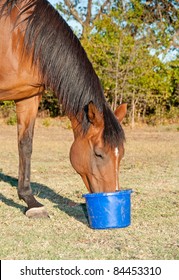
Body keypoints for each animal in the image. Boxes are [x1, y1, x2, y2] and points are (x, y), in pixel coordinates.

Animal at [0, 0, 126, 219]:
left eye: (122, 154)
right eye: (99, 154)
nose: (112, 194)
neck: (19, 36)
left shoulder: (28, 97)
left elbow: (25, 145)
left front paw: (31, 201)